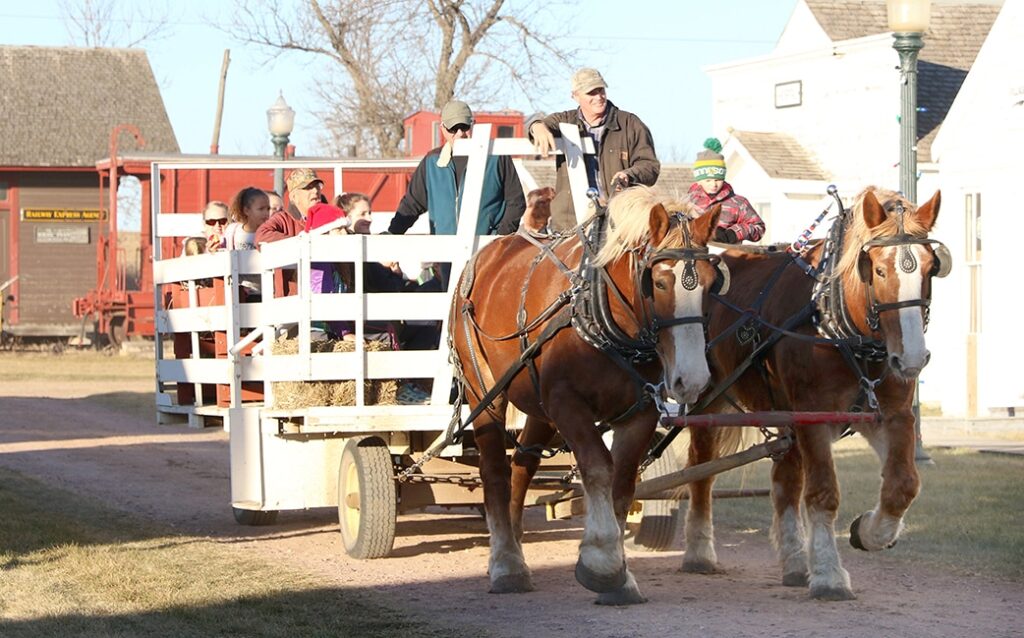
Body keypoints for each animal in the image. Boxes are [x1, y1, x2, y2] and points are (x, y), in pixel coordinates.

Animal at [452, 187, 724, 606]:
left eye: (712, 283)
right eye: (660, 283)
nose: (692, 379)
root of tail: (488, 254)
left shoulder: (639, 412)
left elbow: (623, 481)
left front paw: (622, 578)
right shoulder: (567, 403)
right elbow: (597, 467)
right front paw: (602, 563)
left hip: (537, 407)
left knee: (522, 466)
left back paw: (514, 543)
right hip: (482, 390)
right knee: (495, 470)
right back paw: (506, 563)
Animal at [684, 184, 946, 598]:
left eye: (930, 267)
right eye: (878, 269)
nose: (912, 358)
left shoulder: (892, 414)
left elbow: (903, 485)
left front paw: (868, 531)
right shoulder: (813, 414)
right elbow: (823, 493)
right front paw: (828, 573)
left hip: (783, 413)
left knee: (785, 483)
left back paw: (794, 561)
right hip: (706, 400)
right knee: (701, 469)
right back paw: (698, 551)